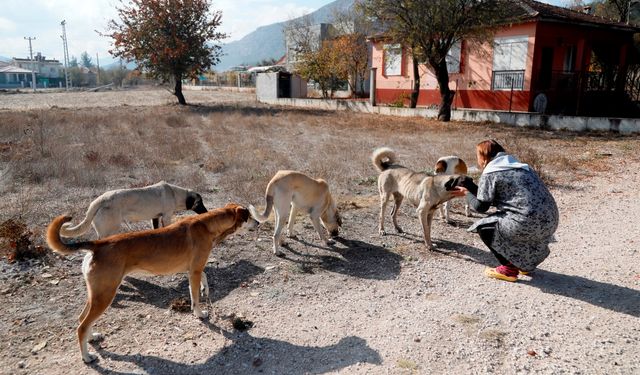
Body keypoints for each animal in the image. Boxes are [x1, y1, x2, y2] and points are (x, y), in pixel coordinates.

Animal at [45, 203, 258, 364]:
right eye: (248, 216)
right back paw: (87, 357)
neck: (208, 224)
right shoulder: (194, 271)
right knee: (82, 326)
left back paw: (92, 337)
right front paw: (199, 313)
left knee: (82, 320)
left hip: (96, 294)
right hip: (105, 295)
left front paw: (205, 289)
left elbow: (203, 280)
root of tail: (97, 244)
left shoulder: (193, 270)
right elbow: (195, 297)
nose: (259, 222)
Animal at [59, 181, 205, 239]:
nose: (206, 212)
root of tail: (99, 200)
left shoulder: (155, 217)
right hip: (109, 230)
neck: (175, 194)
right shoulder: (166, 217)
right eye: (199, 203)